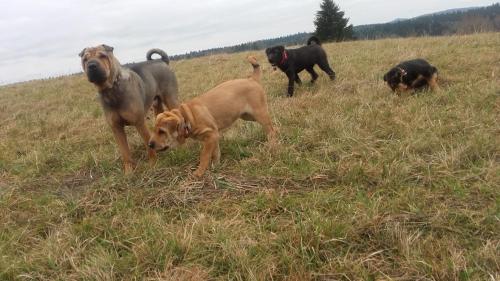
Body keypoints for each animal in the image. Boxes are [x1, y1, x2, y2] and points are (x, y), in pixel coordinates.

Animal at [79, 43, 179, 173]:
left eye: (102, 56)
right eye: (85, 59)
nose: (91, 65)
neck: (111, 89)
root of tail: (162, 61)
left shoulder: (139, 123)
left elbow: (148, 145)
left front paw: (153, 165)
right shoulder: (116, 128)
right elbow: (125, 152)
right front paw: (129, 171)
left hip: (171, 99)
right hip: (157, 105)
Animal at [148, 55, 276, 176]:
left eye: (161, 131)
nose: (150, 145)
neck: (188, 116)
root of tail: (252, 79)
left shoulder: (210, 135)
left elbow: (204, 156)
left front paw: (199, 173)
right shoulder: (214, 137)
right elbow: (216, 153)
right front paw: (216, 167)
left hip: (259, 113)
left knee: (270, 129)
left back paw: (272, 145)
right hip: (248, 116)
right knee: (273, 127)